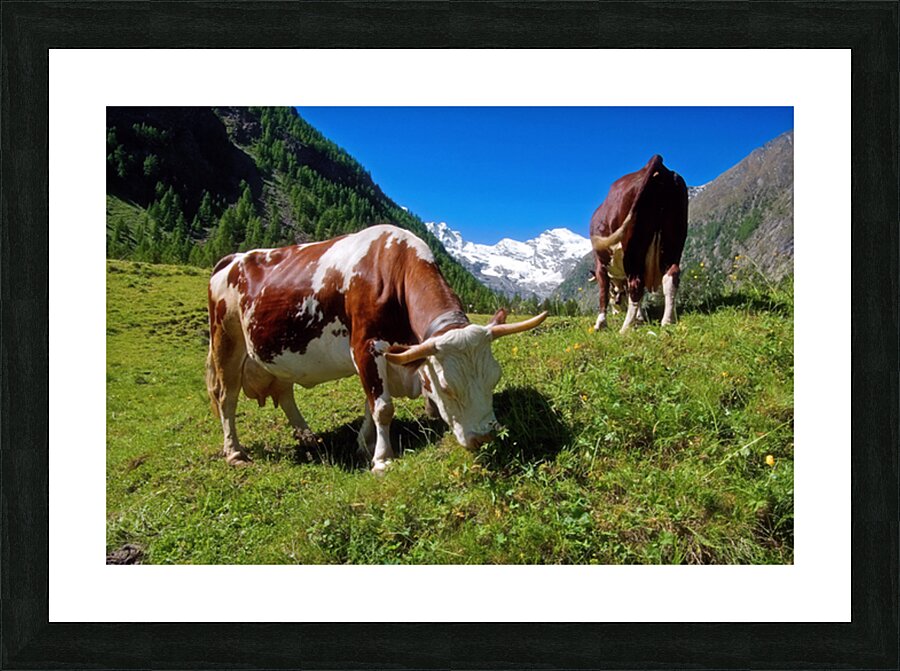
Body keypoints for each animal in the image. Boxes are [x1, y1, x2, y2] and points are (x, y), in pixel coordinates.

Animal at [206, 224, 547, 474]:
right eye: (448, 387)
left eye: (494, 378)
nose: (485, 435)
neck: (393, 268)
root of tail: (232, 259)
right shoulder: (366, 346)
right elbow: (382, 406)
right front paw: (382, 459)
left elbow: (371, 403)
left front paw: (364, 443)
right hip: (226, 340)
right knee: (226, 396)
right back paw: (235, 452)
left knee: (284, 391)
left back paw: (308, 436)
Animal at [589, 154, 688, 333]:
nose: (617, 306)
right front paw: (641, 318)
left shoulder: (600, 263)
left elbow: (603, 291)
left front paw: (600, 323)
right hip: (673, 240)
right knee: (671, 275)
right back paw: (668, 321)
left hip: (632, 249)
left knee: (636, 284)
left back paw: (625, 328)